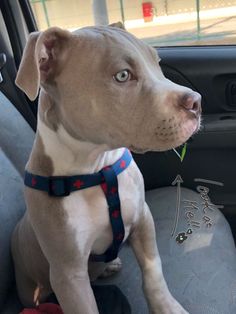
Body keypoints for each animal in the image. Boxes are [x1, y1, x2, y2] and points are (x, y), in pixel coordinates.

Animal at [12, 22, 201, 314]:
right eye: (122, 76)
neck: (95, 169)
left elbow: (153, 271)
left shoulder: (142, 217)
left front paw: (166, 307)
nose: (196, 102)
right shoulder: (68, 275)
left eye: (156, 63)